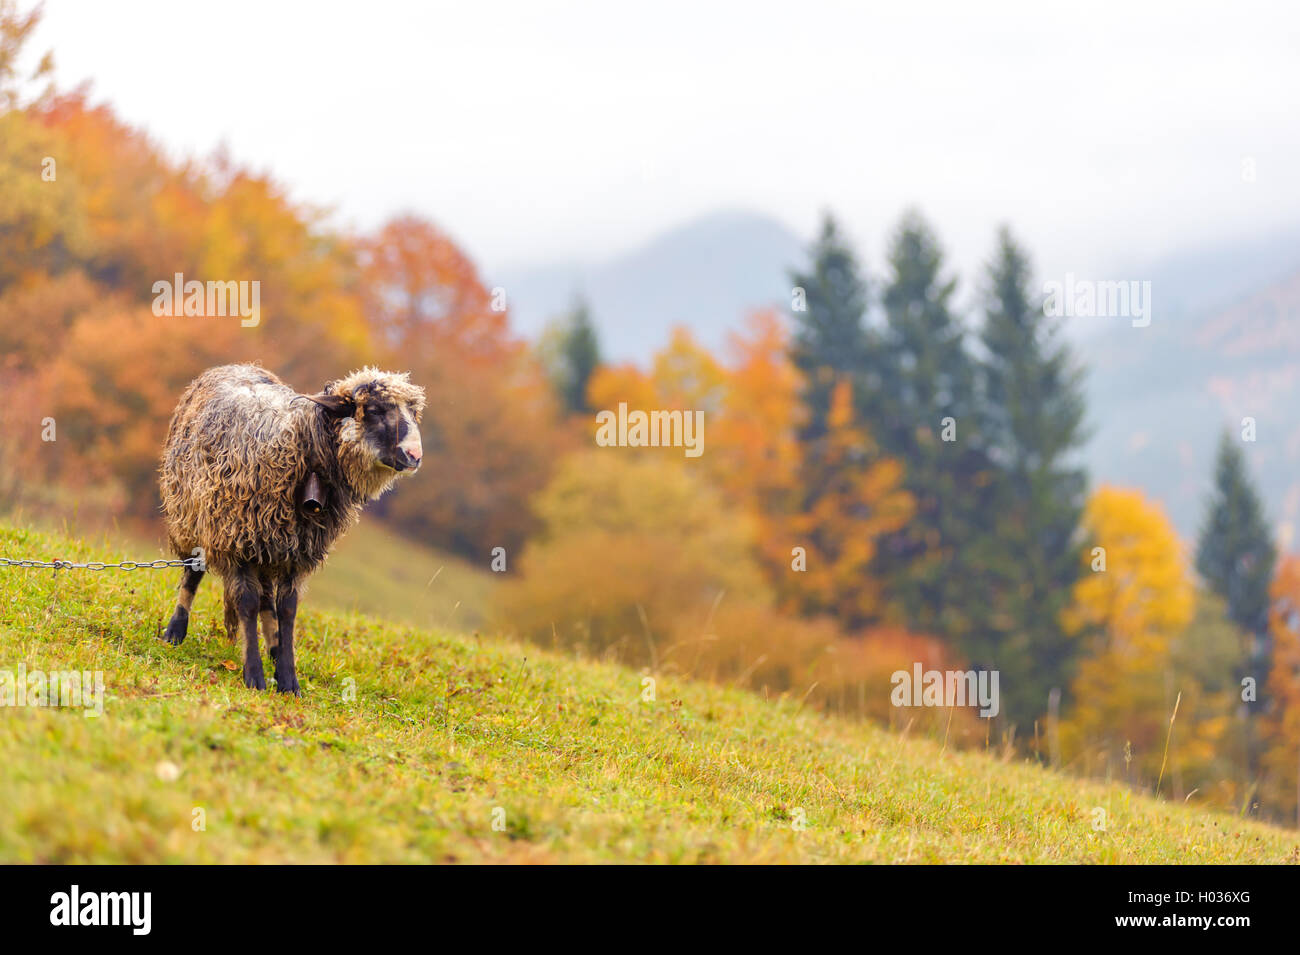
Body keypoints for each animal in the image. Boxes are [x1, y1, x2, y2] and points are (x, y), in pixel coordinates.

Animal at [158, 363, 425, 693]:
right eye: (374, 410)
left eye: (414, 412)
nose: (415, 456)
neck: (303, 454)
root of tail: (236, 365)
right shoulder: (235, 538)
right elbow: (246, 603)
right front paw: (254, 676)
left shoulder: (296, 552)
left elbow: (287, 609)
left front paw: (288, 679)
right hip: (192, 517)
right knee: (193, 574)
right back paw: (175, 631)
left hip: (269, 545)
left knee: (266, 600)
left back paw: (274, 649)